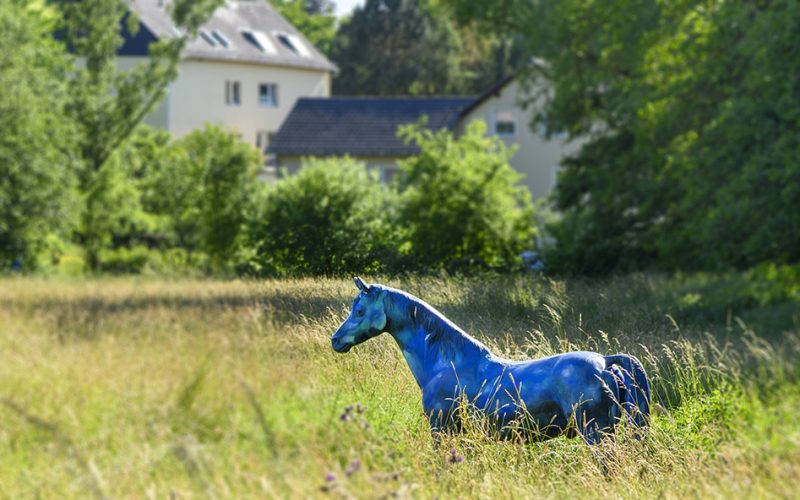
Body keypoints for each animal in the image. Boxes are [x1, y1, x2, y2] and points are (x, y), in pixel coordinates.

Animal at [331, 277, 651, 445]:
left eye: (359, 311)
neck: (444, 364)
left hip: (595, 434)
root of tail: (606, 362)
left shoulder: (441, 429)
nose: (336, 340)